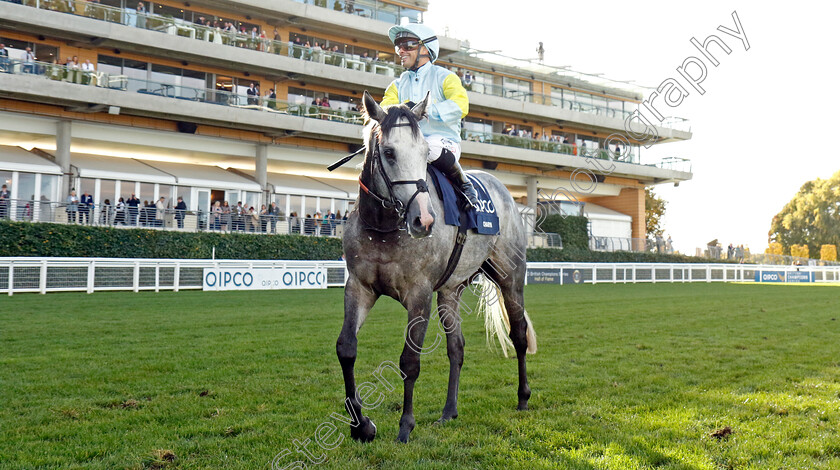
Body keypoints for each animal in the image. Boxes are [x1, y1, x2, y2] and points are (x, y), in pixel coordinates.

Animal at [336, 92, 540, 444]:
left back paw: (523, 397)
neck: (384, 227)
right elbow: (347, 349)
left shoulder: (419, 295)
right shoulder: (359, 287)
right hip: (449, 292)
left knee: (518, 334)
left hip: (510, 279)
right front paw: (361, 425)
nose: (424, 220)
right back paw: (449, 411)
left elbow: (410, 360)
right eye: (389, 153)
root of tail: (503, 190)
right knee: (456, 347)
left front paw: (405, 425)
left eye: (422, 153)